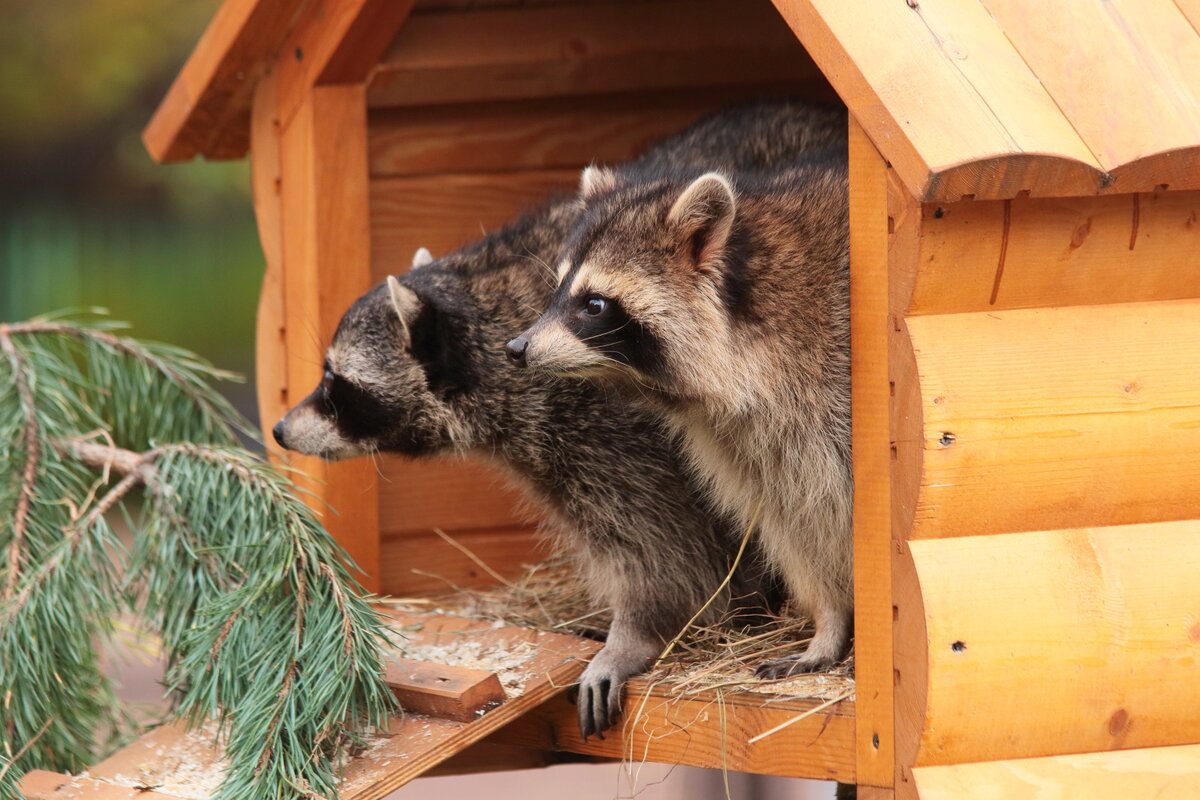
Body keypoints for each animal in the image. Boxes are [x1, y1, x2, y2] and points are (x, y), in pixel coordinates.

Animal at [513, 153, 854, 681]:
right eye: (556, 293)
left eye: (594, 304)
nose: (518, 348)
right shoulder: (756, 447)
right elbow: (798, 521)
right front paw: (829, 620)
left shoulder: (833, 394)